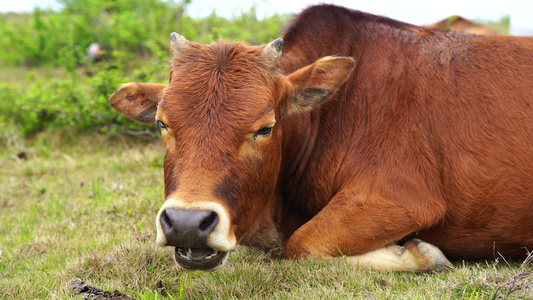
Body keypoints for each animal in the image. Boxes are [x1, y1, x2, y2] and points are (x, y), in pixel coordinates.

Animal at [107, 4, 532, 272]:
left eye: (265, 127)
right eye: (163, 123)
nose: (186, 223)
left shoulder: (404, 199)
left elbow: (302, 244)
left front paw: (421, 255)